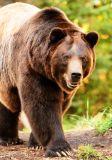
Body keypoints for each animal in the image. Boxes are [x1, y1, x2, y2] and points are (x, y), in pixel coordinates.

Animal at [0, 2, 98, 158]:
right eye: (66, 57)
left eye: (83, 58)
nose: (76, 74)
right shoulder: (33, 69)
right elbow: (43, 103)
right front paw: (60, 148)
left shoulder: (62, 88)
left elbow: (59, 105)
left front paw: (36, 143)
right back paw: (8, 139)